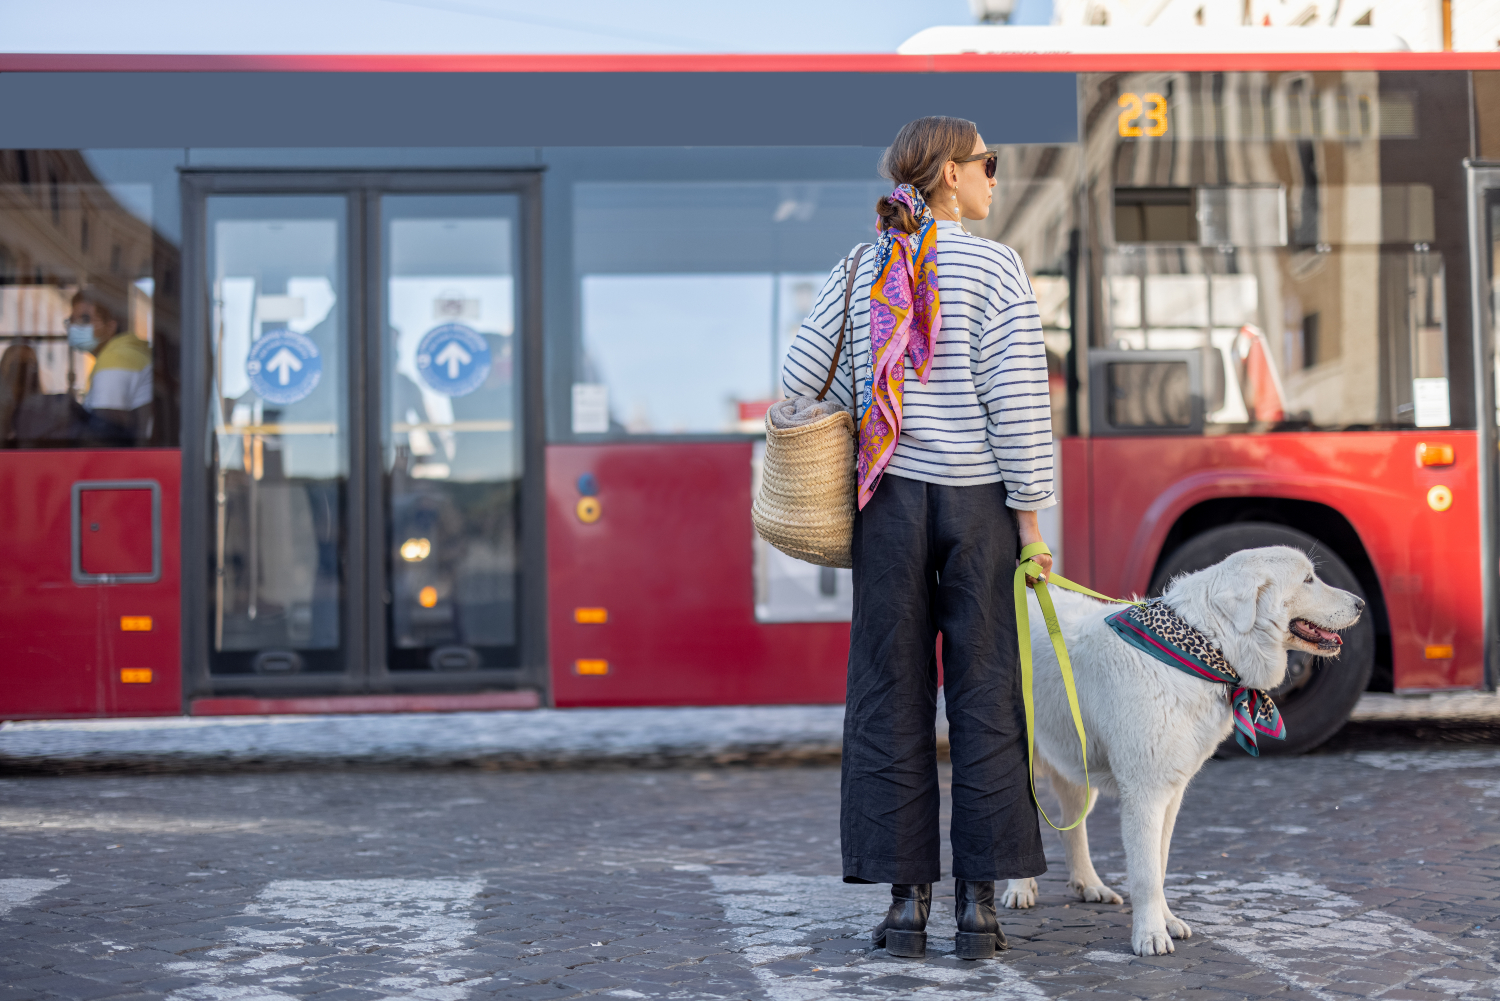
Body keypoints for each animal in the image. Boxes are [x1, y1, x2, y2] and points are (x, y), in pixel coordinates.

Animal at [1002, 549, 1368, 954]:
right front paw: (1150, 935)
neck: (1203, 650)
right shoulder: (1145, 793)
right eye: (1307, 580)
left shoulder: (1171, 792)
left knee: (1072, 827)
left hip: (1075, 763)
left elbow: (1159, 865)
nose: (1361, 604)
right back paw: (1020, 888)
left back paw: (1089, 885)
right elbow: (1146, 874)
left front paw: (1166, 921)